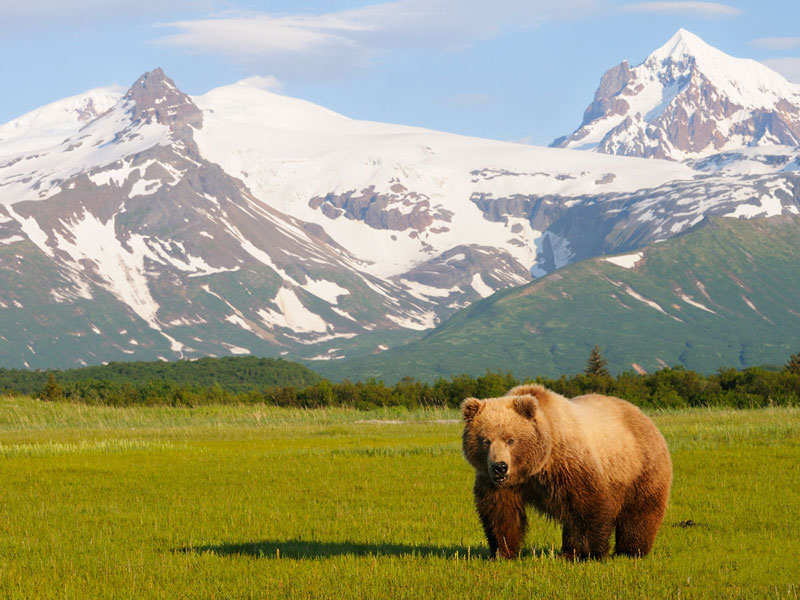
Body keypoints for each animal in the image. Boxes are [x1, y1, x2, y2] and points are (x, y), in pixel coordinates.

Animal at [460, 382, 672, 560]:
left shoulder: (569, 466)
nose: (500, 467)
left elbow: (587, 507)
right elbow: (501, 513)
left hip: (639, 468)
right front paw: (504, 551)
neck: (534, 466)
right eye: (485, 440)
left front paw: (589, 553)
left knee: (639, 512)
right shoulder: (500, 484)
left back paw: (630, 551)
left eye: (511, 440)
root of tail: (643, 415)